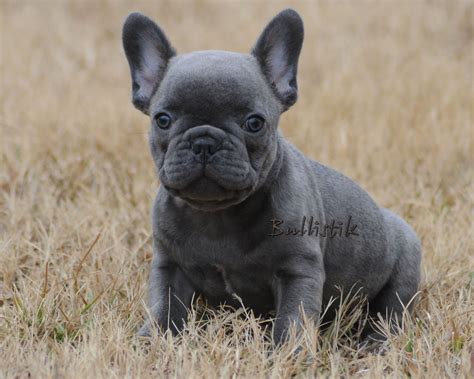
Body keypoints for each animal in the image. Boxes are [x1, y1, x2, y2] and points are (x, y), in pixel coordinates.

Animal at [122, 9, 422, 348]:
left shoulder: (298, 271)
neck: (217, 216)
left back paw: (376, 345)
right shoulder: (169, 265)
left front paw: (288, 352)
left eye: (254, 123)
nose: (204, 142)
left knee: (391, 311)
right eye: (162, 120)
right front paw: (150, 341)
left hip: (405, 263)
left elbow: (293, 319)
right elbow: (164, 305)